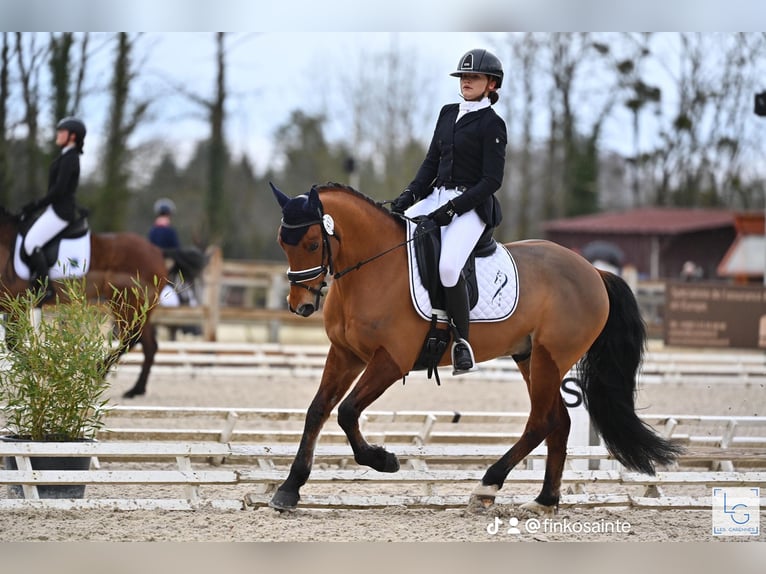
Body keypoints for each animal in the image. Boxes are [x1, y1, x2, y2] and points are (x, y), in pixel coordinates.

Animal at [0, 207, 169, 400]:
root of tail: (157, 251)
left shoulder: (17, 303)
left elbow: (13, 343)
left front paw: (52, 374)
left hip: (126, 302)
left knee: (132, 338)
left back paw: (99, 371)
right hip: (138, 308)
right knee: (148, 345)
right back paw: (135, 389)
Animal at [266, 182, 684, 516]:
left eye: (312, 243)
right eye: (282, 243)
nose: (300, 305)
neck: (373, 269)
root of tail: (593, 271)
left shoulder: (391, 361)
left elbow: (348, 412)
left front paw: (384, 461)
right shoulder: (345, 354)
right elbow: (317, 411)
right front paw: (289, 489)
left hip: (551, 358)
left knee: (541, 421)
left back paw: (487, 486)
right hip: (529, 356)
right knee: (559, 422)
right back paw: (544, 500)